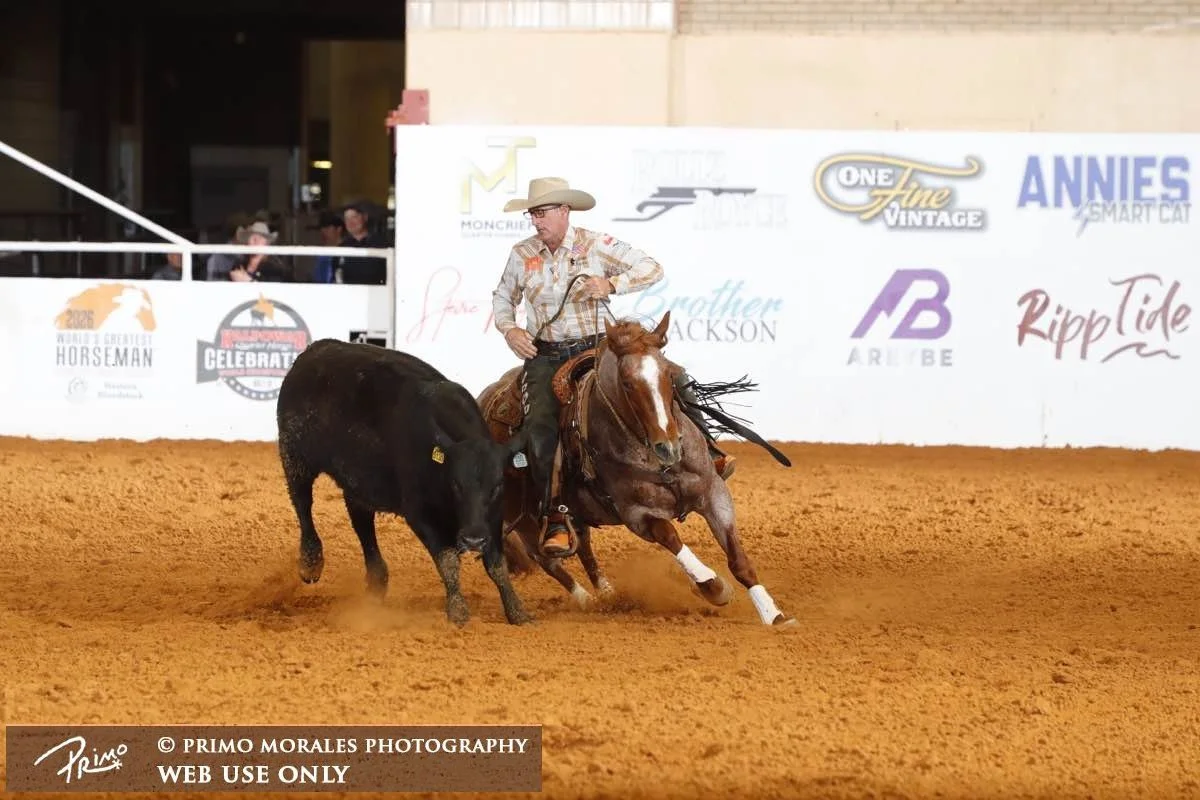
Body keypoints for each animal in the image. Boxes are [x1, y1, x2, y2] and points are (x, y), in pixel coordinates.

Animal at [275, 338, 532, 626]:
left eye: (497, 485)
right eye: (455, 484)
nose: (474, 540)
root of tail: (315, 350)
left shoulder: (493, 517)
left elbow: (497, 564)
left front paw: (517, 610)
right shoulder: (419, 514)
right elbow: (448, 561)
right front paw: (458, 611)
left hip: (358, 481)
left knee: (362, 523)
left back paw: (377, 583)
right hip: (294, 453)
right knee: (302, 502)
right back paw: (311, 562)